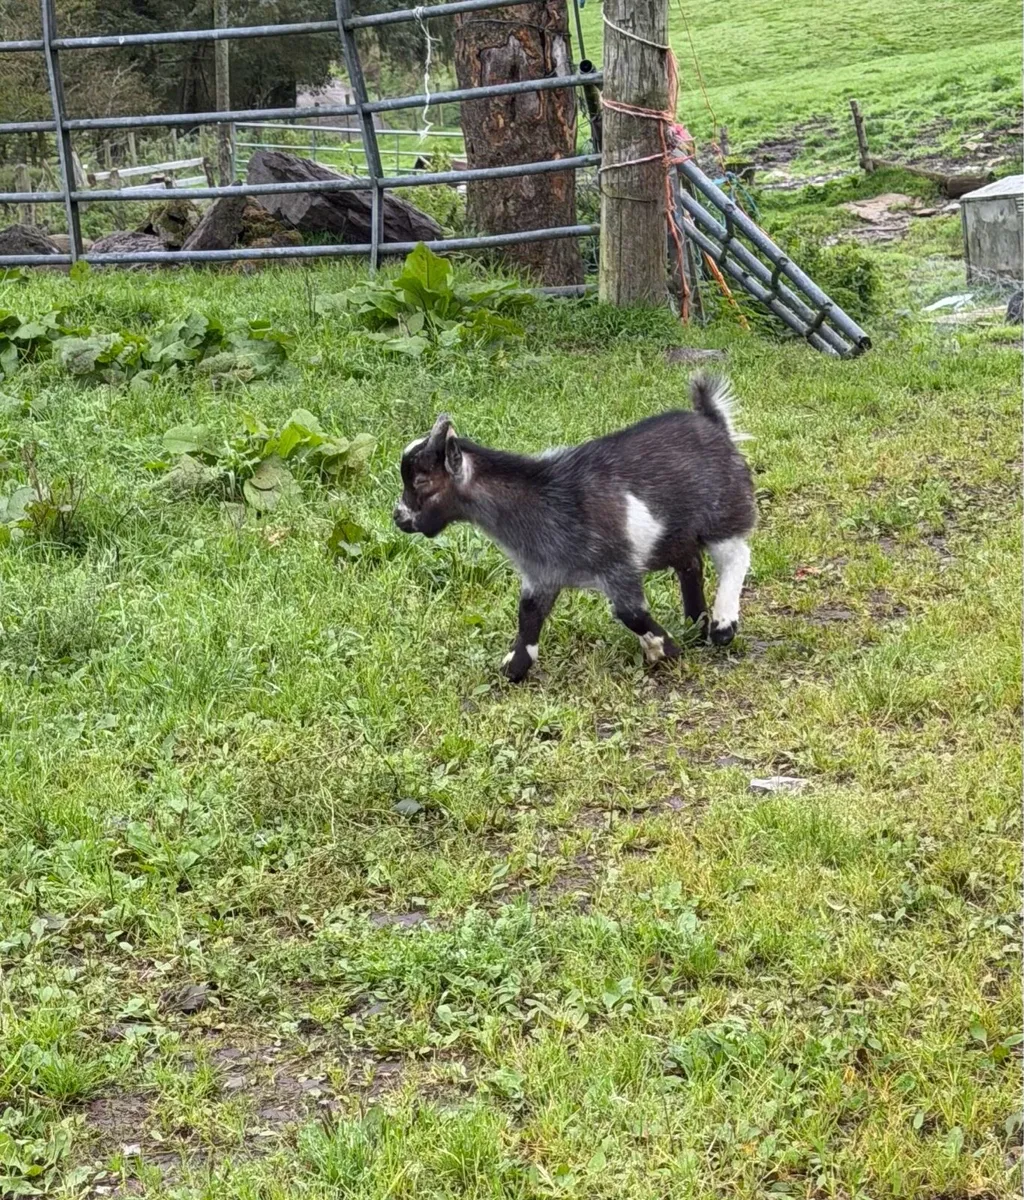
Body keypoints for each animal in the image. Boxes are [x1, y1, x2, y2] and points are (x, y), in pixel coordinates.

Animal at [393, 374, 756, 682]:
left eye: (421, 481)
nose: (399, 518)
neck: (539, 499)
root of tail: (713, 424)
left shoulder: (617, 566)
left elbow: (630, 613)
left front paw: (664, 651)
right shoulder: (542, 574)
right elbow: (528, 615)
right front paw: (515, 667)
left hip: (723, 512)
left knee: (736, 556)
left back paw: (722, 625)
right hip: (674, 534)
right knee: (691, 564)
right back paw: (696, 625)